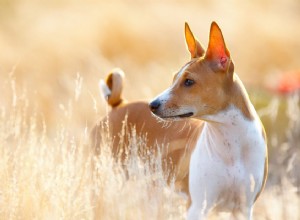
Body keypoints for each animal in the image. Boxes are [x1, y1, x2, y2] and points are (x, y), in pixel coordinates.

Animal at [149, 21, 268, 219]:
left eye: (189, 82)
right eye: (174, 78)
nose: (152, 105)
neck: (231, 146)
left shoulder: (243, 209)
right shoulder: (197, 207)